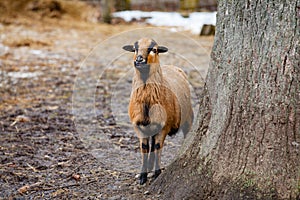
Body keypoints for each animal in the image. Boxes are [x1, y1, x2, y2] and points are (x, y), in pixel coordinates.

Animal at [123, 37, 193, 184]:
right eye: (135, 49)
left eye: (154, 50)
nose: (139, 60)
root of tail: (173, 66)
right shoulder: (138, 127)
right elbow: (145, 148)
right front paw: (142, 176)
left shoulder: (164, 126)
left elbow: (157, 146)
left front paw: (156, 173)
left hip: (188, 117)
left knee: (185, 135)